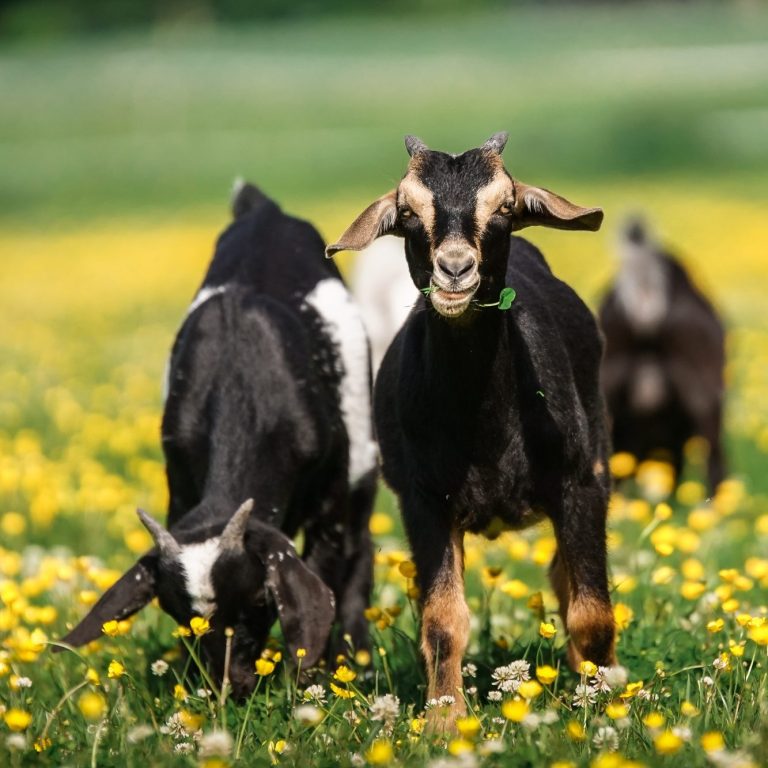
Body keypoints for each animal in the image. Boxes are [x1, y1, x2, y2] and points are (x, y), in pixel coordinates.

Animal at [56, 182, 377, 698]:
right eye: (174, 613)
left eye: (259, 601)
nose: (232, 686)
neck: (240, 381)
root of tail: (263, 209)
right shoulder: (179, 482)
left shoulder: (330, 495)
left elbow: (329, 565)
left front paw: (317, 681)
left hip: (363, 459)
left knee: (359, 549)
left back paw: (357, 656)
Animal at [327, 133, 615, 730]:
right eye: (407, 211)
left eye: (505, 206)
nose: (455, 269)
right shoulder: (423, 500)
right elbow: (442, 620)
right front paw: (443, 722)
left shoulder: (580, 484)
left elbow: (592, 611)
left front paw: (609, 711)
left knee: (565, 577)